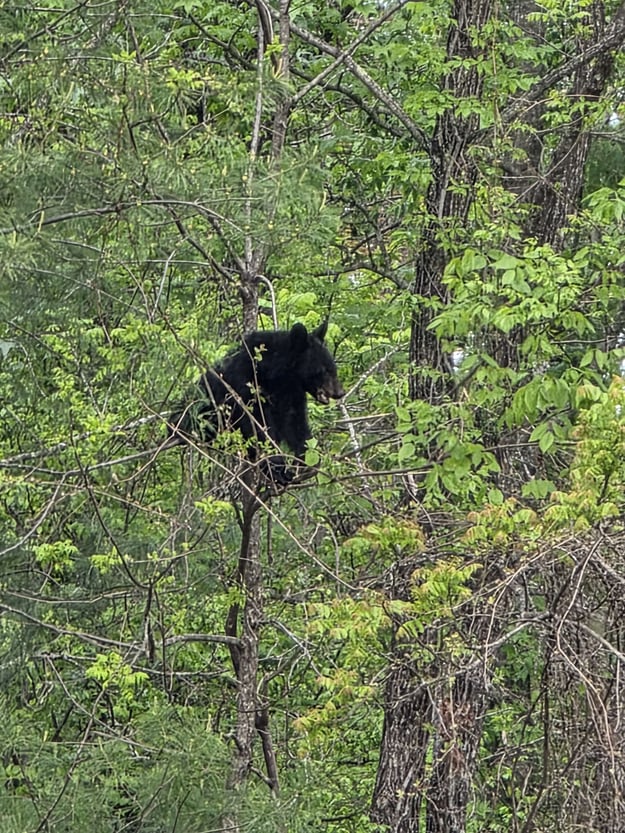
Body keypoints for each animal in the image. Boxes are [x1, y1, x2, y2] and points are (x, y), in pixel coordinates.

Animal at [168, 321, 344, 482]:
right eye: (324, 370)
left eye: (333, 368)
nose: (340, 392)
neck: (276, 375)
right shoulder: (245, 384)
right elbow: (257, 424)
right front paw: (277, 469)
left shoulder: (291, 394)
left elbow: (294, 422)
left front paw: (306, 461)